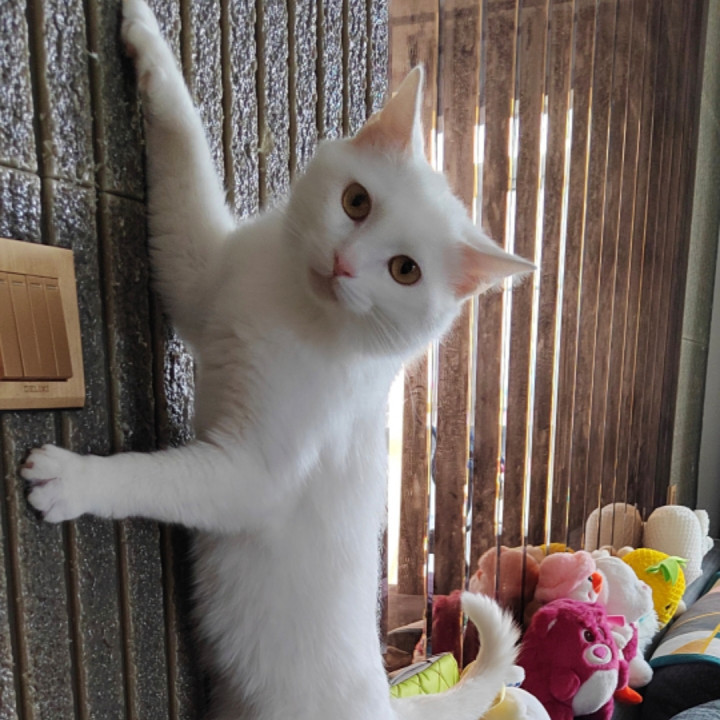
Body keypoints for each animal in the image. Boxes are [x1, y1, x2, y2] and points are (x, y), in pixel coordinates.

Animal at [22, 1, 534, 718]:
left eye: (405, 271)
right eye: (356, 201)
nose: (344, 264)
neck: (294, 308)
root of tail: (387, 697)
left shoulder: (251, 472)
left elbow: (154, 477)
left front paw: (74, 479)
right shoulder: (198, 278)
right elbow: (185, 143)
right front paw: (150, 46)